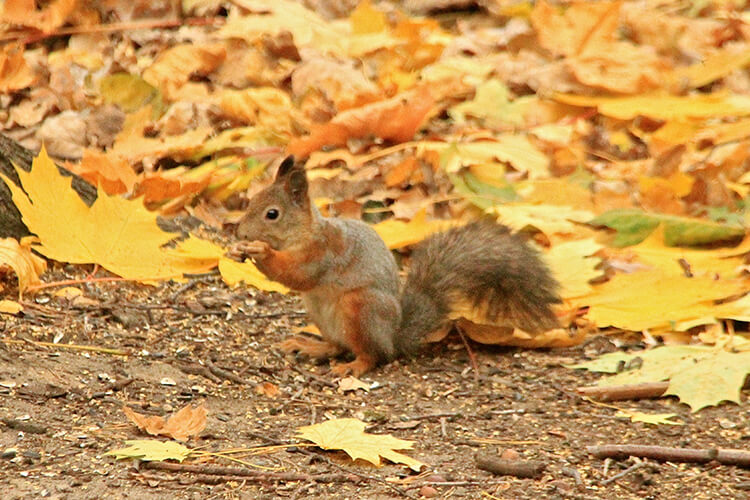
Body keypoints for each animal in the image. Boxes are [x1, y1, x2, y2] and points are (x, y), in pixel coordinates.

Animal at [232, 155, 560, 376]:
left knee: (373, 355)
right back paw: (313, 346)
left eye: (272, 214)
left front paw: (260, 251)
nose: (240, 233)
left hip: (361, 307)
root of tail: (394, 336)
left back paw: (352, 367)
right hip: (321, 313)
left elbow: (298, 274)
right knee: (339, 346)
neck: (304, 233)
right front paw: (240, 250)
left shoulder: (322, 254)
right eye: (251, 201)